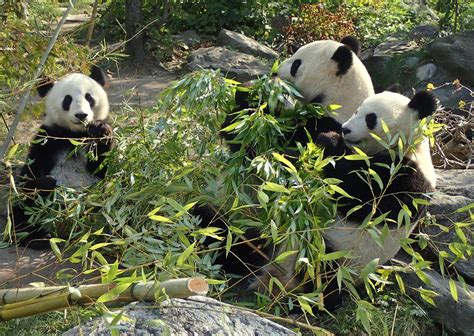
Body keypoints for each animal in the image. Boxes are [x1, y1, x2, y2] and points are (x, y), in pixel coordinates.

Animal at [10, 66, 114, 249]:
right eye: (67, 100)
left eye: (89, 97)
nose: (81, 115)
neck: (74, 135)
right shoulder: (48, 139)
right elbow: (30, 175)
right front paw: (45, 182)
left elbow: (102, 168)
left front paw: (100, 129)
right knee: (23, 210)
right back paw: (37, 237)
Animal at [252, 89, 436, 308]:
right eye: (357, 110)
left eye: (370, 118)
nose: (345, 129)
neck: (407, 145)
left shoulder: (405, 180)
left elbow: (355, 196)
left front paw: (330, 141)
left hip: (332, 257)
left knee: (319, 270)